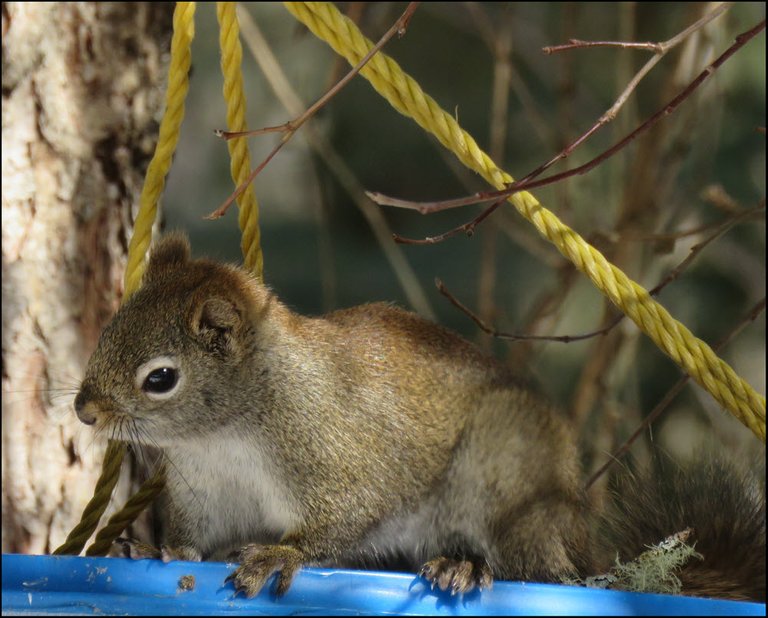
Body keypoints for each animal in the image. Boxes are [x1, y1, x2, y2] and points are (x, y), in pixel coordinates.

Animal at [72, 231, 760, 596]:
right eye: (108, 329)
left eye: (161, 379)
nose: (83, 411)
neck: (222, 435)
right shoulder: (208, 492)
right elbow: (195, 542)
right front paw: (155, 552)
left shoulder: (337, 452)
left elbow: (344, 516)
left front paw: (280, 556)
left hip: (502, 484)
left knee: (533, 573)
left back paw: (464, 566)